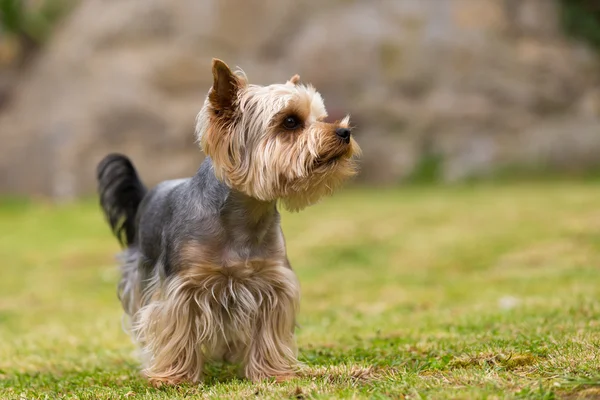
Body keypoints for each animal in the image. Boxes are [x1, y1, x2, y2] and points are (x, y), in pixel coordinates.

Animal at [98, 58, 360, 384]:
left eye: (321, 118)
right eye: (290, 121)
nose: (344, 132)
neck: (244, 217)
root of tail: (148, 193)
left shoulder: (272, 283)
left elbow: (268, 332)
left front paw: (273, 372)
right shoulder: (181, 287)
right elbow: (175, 328)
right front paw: (173, 376)